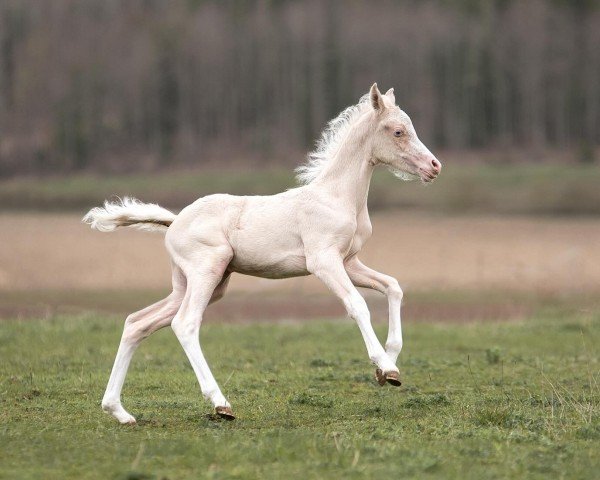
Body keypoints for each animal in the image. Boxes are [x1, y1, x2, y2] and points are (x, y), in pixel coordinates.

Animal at [84, 83, 440, 424]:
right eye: (398, 131)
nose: (434, 166)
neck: (337, 197)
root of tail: (174, 221)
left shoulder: (349, 262)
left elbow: (393, 287)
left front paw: (387, 366)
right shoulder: (323, 261)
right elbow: (357, 305)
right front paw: (386, 367)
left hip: (201, 283)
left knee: (137, 323)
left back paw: (119, 411)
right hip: (206, 272)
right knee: (184, 324)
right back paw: (220, 404)